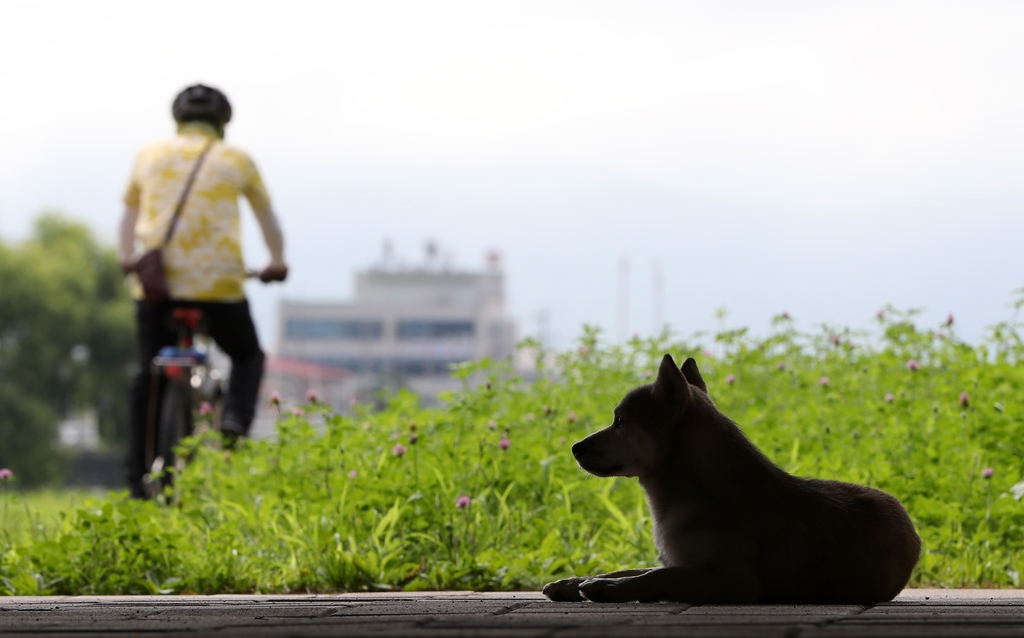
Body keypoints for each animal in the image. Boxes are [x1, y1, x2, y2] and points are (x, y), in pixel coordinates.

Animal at [544, 356, 921, 606]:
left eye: (620, 422)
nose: (575, 448)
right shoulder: (683, 562)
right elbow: (627, 569)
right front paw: (576, 581)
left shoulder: (729, 580)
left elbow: (656, 575)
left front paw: (607, 589)